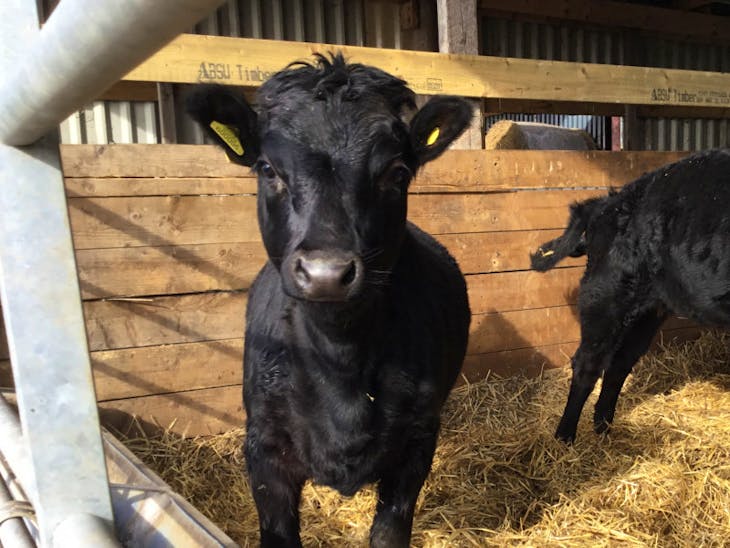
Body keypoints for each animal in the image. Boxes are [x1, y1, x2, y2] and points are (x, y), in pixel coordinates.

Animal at [186, 53, 472, 547]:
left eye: (396, 172)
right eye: (268, 169)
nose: (326, 274)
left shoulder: (418, 441)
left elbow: (389, 532)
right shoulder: (264, 448)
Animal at [530, 149, 730, 443]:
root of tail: (608, 201)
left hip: (647, 311)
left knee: (619, 362)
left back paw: (603, 427)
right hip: (604, 297)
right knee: (587, 363)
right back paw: (565, 437)